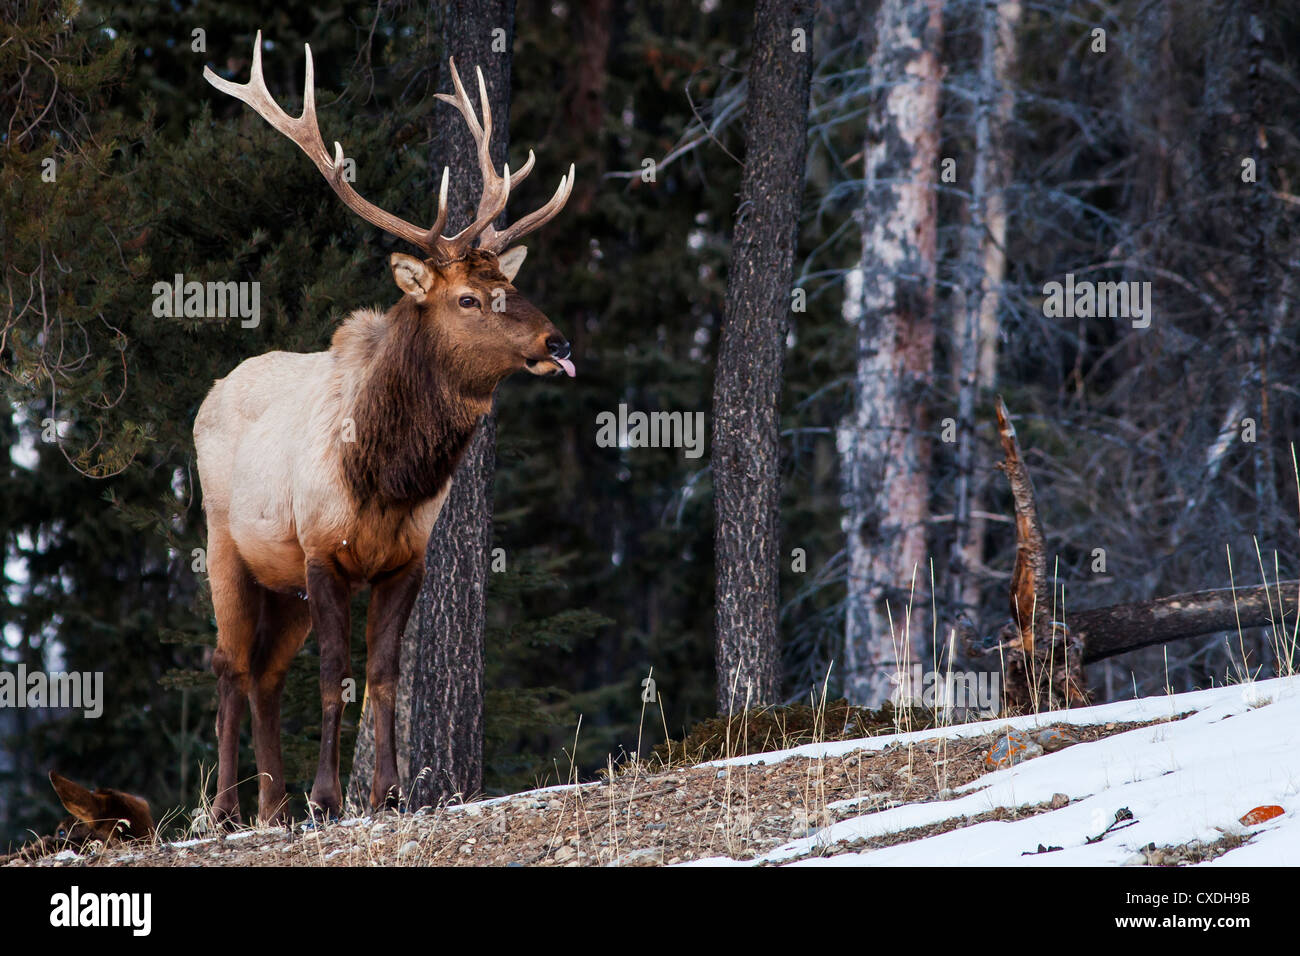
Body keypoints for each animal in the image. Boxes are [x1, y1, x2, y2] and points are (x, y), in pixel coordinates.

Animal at [195, 34, 576, 827]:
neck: (385, 477)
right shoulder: (320, 550)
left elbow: (387, 673)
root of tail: (212, 391)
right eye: (469, 298)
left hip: (282, 583)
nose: (557, 342)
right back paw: (226, 809)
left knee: (266, 672)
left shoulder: (406, 560)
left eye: (512, 284)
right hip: (226, 544)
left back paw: (272, 805)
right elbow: (336, 672)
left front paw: (389, 794)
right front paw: (327, 798)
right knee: (230, 663)